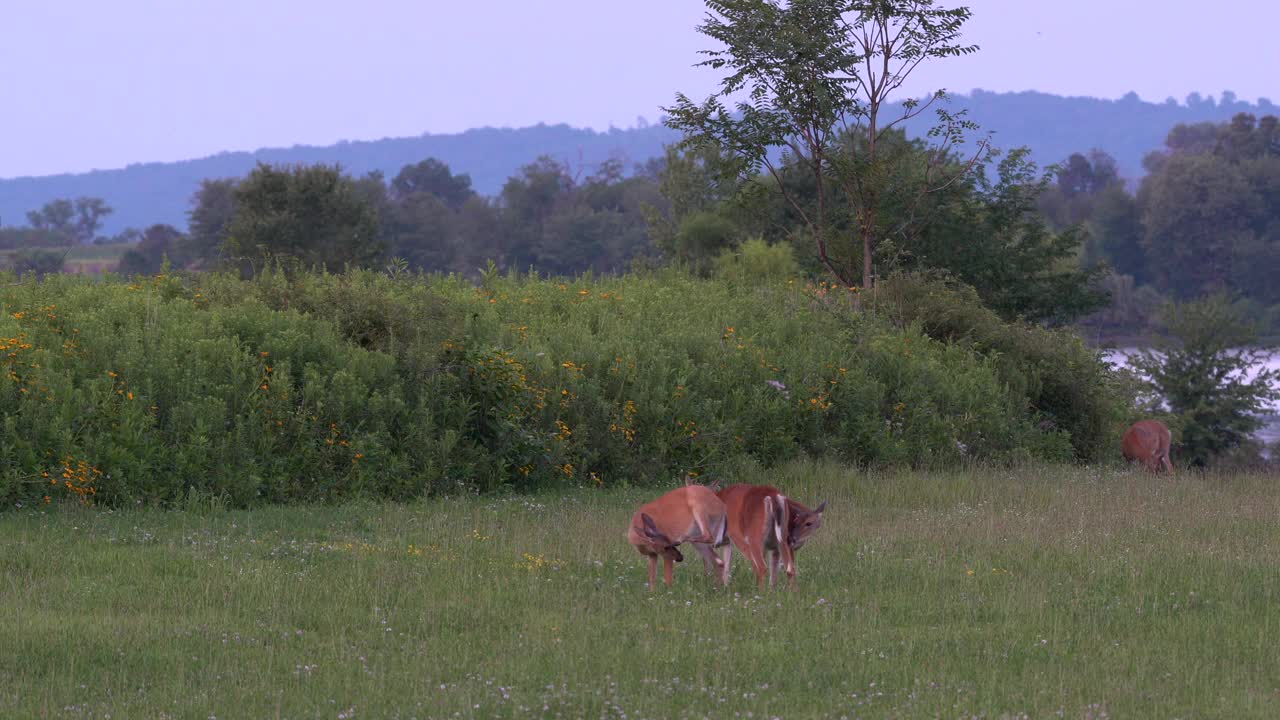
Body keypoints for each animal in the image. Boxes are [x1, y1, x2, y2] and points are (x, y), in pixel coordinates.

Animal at [696, 481, 824, 589]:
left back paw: (760, 593)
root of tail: (773, 496)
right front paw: (724, 587)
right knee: (789, 568)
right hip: (781, 538)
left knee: (761, 566)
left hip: (753, 537)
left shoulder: (735, 535)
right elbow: (726, 563)